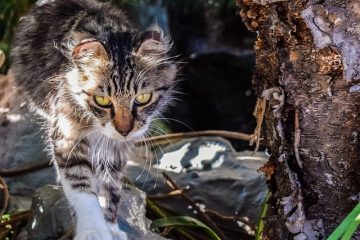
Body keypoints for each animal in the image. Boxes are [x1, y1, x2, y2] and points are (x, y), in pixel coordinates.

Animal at [9, 0, 176, 239]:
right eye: (102, 100)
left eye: (143, 98)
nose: (124, 130)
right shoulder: (67, 137)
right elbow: (81, 189)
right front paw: (93, 230)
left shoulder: (116, 152)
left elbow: (111, 190)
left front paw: (111, 227)